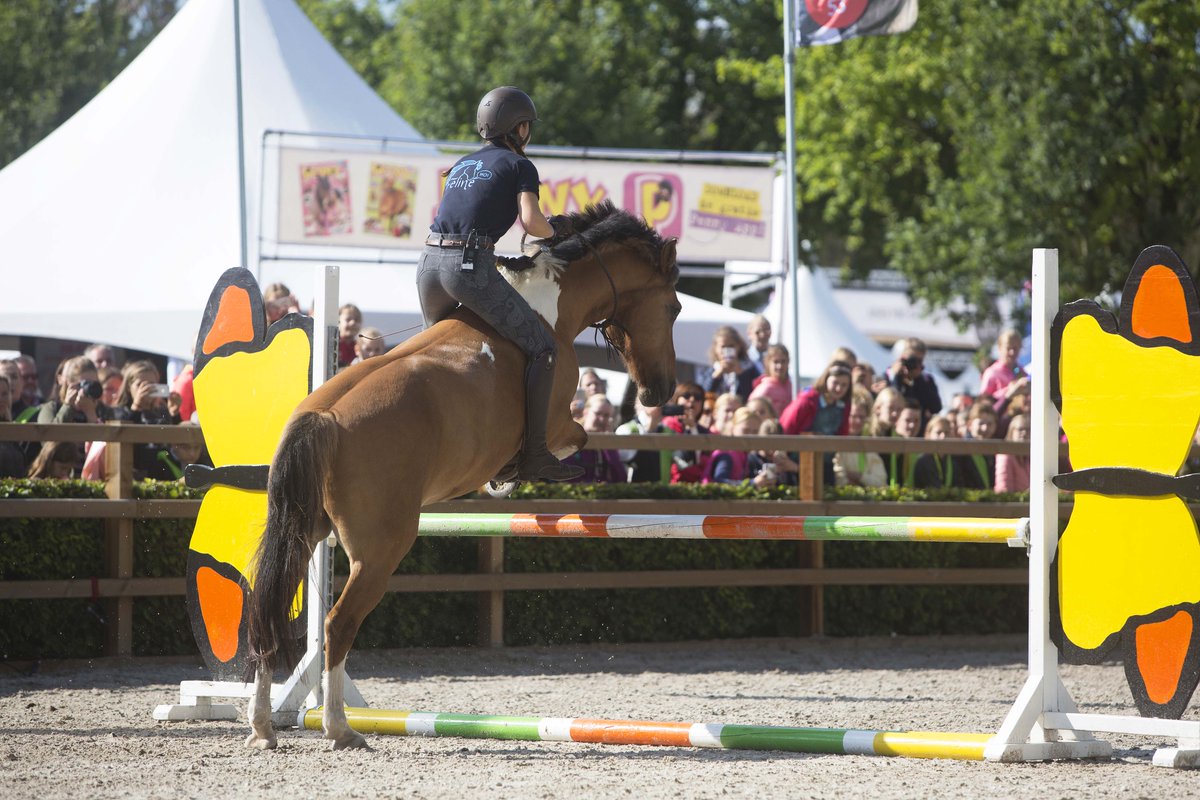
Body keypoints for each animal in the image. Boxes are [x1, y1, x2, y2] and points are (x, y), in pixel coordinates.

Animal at [243, 201, 681, 750]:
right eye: (673, 308)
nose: (658, 393)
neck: (551, 307)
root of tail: (323, 417)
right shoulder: (560, 420)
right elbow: (573, 441)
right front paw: (510, 478)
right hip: (379, 551)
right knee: (338, 624)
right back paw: (340, 727)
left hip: (303, 531)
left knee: (268, 610)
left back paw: (263, 727)